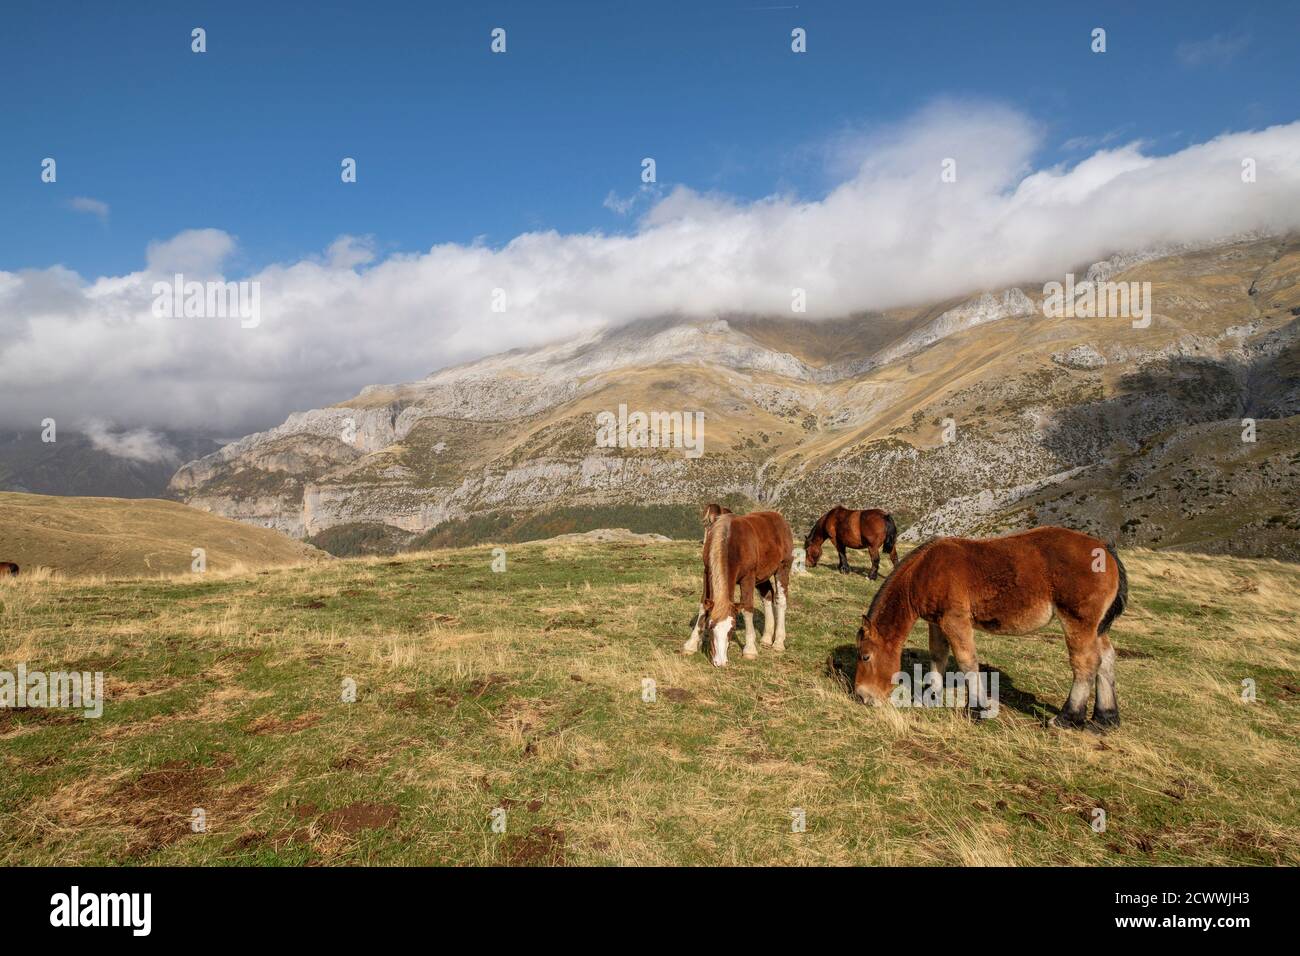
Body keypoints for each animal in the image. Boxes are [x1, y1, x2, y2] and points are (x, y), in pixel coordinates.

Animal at [681, 515, 790, 665]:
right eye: (710, 626)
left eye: (732, 628)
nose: (720, 662)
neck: (730, 540)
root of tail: (779, 518)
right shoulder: (706, 572)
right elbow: (703, 604)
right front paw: (691, 644)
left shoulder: (748, 577)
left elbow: (747, 608)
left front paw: (750, 650)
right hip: (762, 575)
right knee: (767, 595)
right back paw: (766, 639)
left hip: (782, 568)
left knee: (780, 600)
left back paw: (778, 642)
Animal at [852, 530, 1128, 733]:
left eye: (866, 656)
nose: (862, 697)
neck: (927, 569)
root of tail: (1104, 549)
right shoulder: (937, 622)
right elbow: (938, 656)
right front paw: (930, 696)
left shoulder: (955, 621)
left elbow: (966, 661)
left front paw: (976, 708)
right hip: (1097, 628)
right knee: (1106, 659)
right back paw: (1105, 718)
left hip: (1078, 622)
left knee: (1085, 663)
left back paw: (1068, 718)